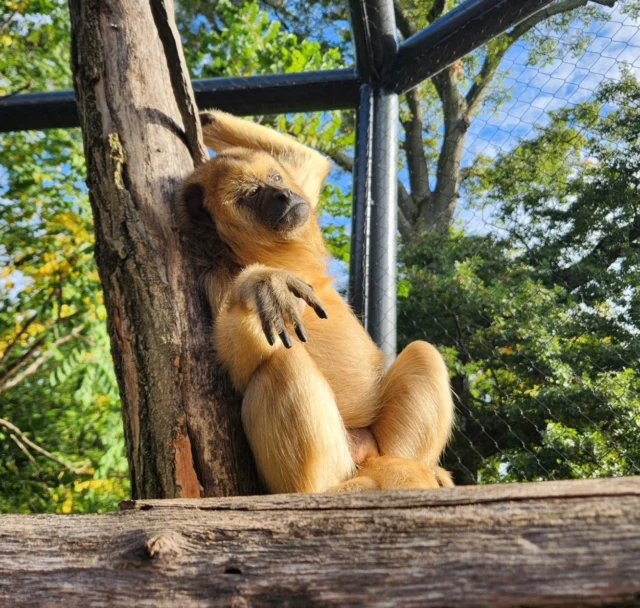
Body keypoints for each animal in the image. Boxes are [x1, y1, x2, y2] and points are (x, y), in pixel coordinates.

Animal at [178, 110, 452, 494]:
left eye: (275, 177)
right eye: (251, 194)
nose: (282, 194)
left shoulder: (301, 192)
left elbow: (310, 160)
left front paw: (205, 119)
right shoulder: (217, 278)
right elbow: (239, 366)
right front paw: (261, 282)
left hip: (378, 441)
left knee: (423, 352)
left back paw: (413, 469)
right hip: (336, 457)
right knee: (282, 361)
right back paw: (325, 490)